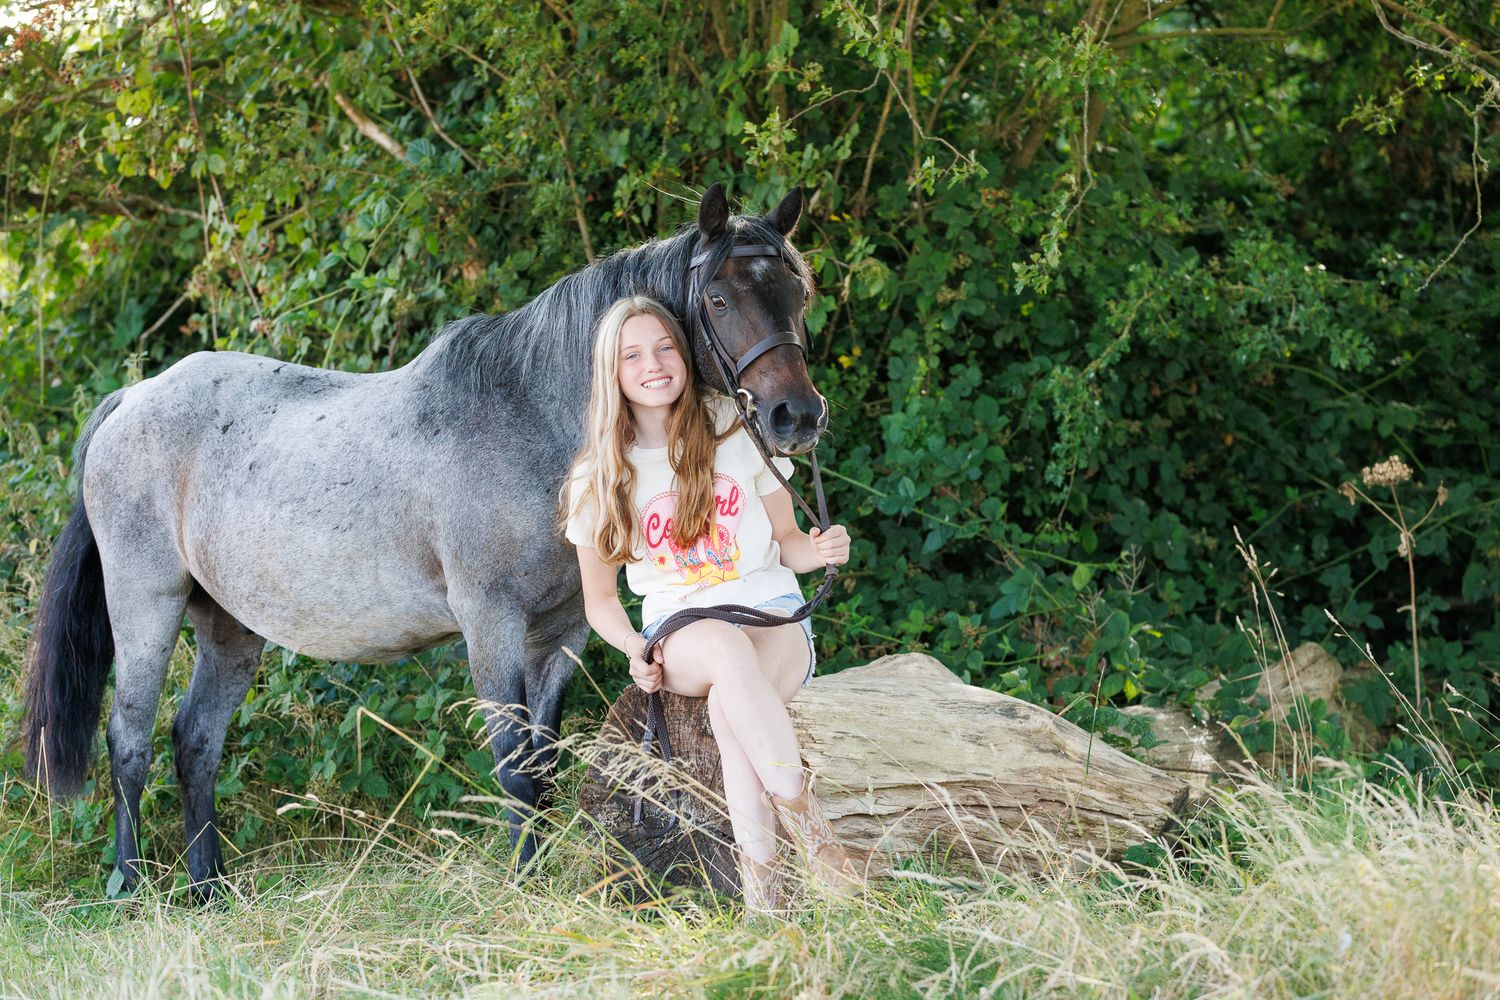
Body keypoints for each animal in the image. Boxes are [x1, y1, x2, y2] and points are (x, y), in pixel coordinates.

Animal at [20, 182, 825, 898]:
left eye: (797, 291)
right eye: (718, 300)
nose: (796, 415)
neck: (526, 423)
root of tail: (134, 398)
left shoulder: (562, 631)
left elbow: (544, 765)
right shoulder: (490, 623)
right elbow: (513, 764)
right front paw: (522, 885)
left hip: (229, 628)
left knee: (195, 742)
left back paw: (210, 889)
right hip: (145, 605)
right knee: (130, 741)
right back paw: (130, 888)